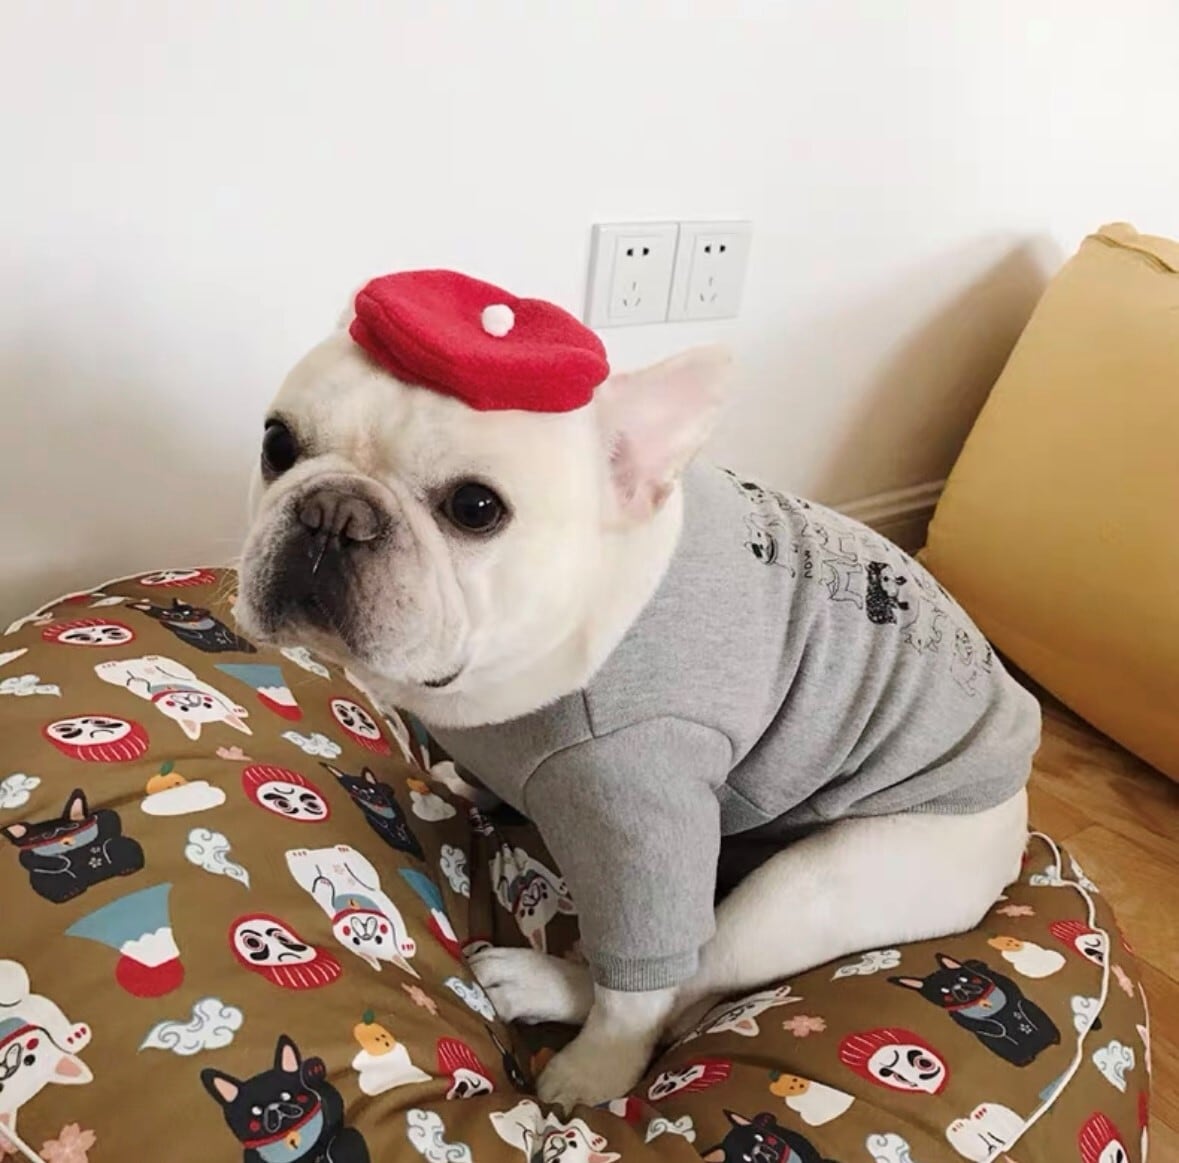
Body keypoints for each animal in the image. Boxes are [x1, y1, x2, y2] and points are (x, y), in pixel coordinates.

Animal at [1, 789, 144, 903]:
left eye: (71, 826)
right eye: (47, 835)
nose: (67, 840)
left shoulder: (104, 817)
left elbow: (109, 817)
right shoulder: (28, 854)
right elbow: (28, 858)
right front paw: (61, 861)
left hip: (117, 846)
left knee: (113, 844)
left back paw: (127, 867)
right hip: (46, 878)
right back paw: (69, 892)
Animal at [234, 269, 1039, 1109]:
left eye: (475, 508)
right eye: (276, 443)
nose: (333, 511)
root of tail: (1013, 815)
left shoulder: (639, 809)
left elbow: (638, 986)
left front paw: (592, 1070)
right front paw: (470, 783)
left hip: (813, 886)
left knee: (690, 976)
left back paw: (542, 986)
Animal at [890, 952, 1061, 1068]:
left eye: (963, 978)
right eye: (944, 992)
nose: (958, 987)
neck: (978, 1001)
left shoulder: (1009, 989)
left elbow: (1014, 998)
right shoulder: (959, 1017)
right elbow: (979, 1024)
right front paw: (997, 1027)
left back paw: (1052, 1037)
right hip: (999, 1045)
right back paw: (1024, 1058)